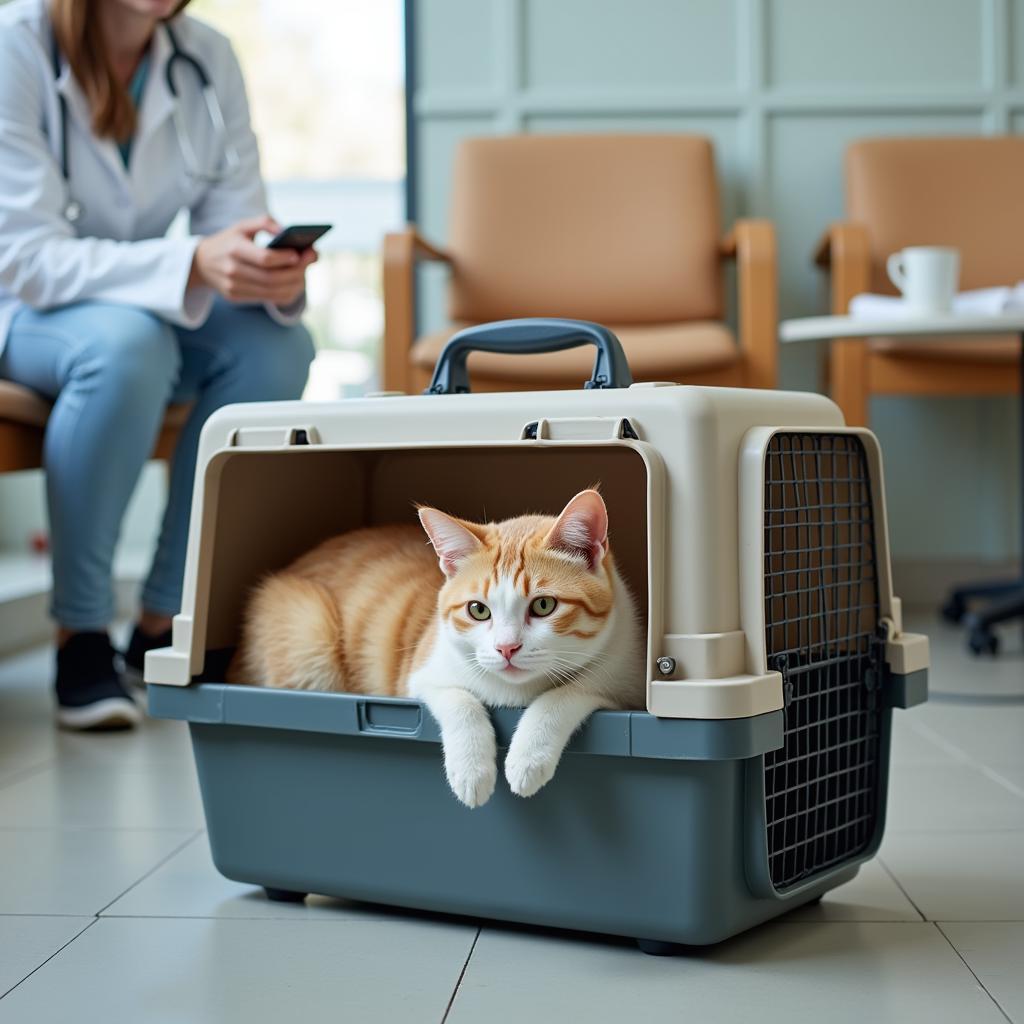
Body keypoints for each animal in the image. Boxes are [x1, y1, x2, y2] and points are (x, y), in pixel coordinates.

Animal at [234, 487, 643, 806]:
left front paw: (528, 756)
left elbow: (567, 693)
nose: (506, 648)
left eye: (543, 605)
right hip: (308, 629)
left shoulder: (625, 678)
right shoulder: (422, 674)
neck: (515, 693)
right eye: (478, 610)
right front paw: (472, 770)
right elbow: (459, 700)